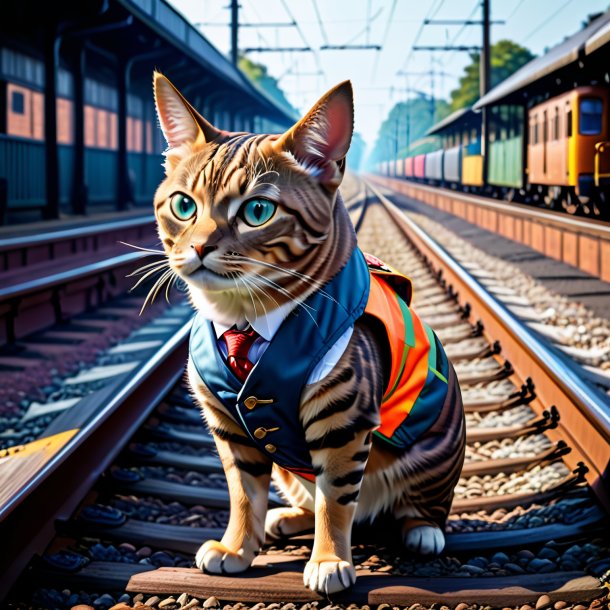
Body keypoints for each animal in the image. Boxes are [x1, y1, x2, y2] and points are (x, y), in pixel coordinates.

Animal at [152, 69, 466, 592]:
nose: (197, 247)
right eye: (182, 205)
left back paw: (422, 531)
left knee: (406, 505)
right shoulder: (228, 424)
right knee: (310, 496)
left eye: (257, 211)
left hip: (436, 451)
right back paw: (285, 519)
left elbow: (335, 499)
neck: (243, 318)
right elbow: (242, 491)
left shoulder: (343, 417)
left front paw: (329, 561)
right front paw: (236, 548)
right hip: (289, 471)